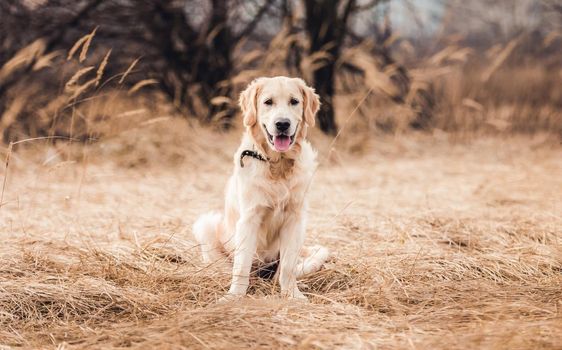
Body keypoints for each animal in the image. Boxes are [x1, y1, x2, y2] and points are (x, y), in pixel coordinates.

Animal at [194, 75, 328, 300]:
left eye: (294, 101)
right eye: (268, 102)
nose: (282, 124)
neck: (278, 165)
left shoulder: (295, 219)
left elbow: (289, 267)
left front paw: (292, 295)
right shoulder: (249, 218)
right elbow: (241, 266)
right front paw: (234, 297)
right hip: (205, 224)